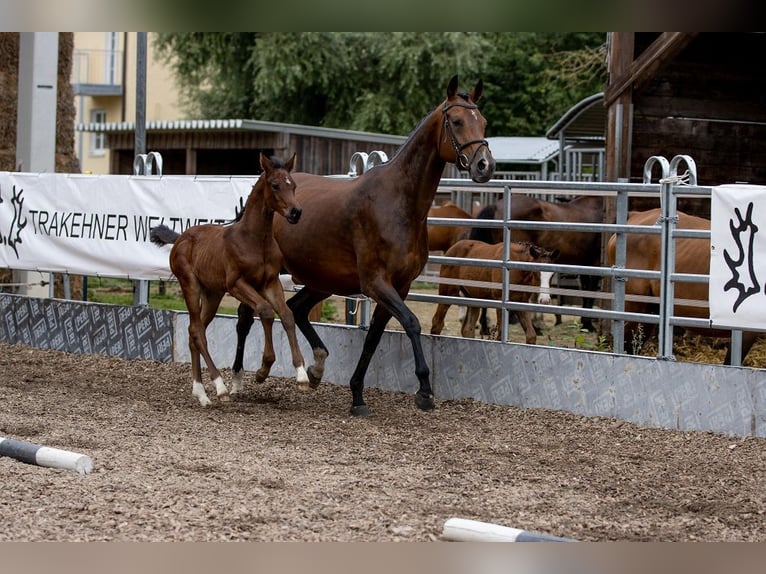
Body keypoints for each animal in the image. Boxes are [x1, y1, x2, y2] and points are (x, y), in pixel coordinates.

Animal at [150, 152, 308, 404]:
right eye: (275, 185)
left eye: (292, 185)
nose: (296, 212)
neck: (255, 239)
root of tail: (180, 238)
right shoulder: (237, 284)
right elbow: (265, 310)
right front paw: (263, 369)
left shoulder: (270, 282)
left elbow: (286, 315)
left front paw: (302, 374)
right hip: (190, 286)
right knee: (197, 332)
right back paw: (219, 387)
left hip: (212, 294)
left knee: (194, 332)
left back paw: (200, 393)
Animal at [236, 76, 498, 418]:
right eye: (456, 121)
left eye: (483, 122)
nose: (485, 166)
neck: (398, 203)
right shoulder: (376, 283)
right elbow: (412, 324)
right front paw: (424, 391)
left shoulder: (398, 287)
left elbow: (373, 338)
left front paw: (357, 395)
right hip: (266, 273)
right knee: (245, 316)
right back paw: (240, 378)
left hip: (322, 280)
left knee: (297, 309)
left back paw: (316, 368)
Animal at [432, 240, 560, 344]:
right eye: (535, 272)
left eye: (552, 274)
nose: (545, 300)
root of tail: (452, 247)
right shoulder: (500, 302)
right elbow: (500, 336)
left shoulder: (520, 302)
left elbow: (531, 336)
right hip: (448, 293)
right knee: (437, 323)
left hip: (474, 299)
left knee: (467, 329)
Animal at [472, 195, 608, 332]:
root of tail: (494, 206)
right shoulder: (595, 263)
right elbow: (590, 292)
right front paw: (587, 324)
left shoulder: (585, 264)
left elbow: (585, 291)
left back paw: (485, 326)